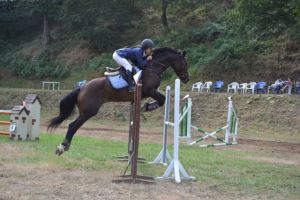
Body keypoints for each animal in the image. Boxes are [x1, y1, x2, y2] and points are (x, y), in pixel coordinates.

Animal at [47, 47, 189, 155]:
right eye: (185, 63)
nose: (187, 79)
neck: (152, 67)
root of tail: (82, 87)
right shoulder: (150, 91)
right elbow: (162, 99)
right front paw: (148, 107)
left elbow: (162, 99)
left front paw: (147, 106)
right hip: (89, 111)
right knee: (73, 126)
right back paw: (62, 147)